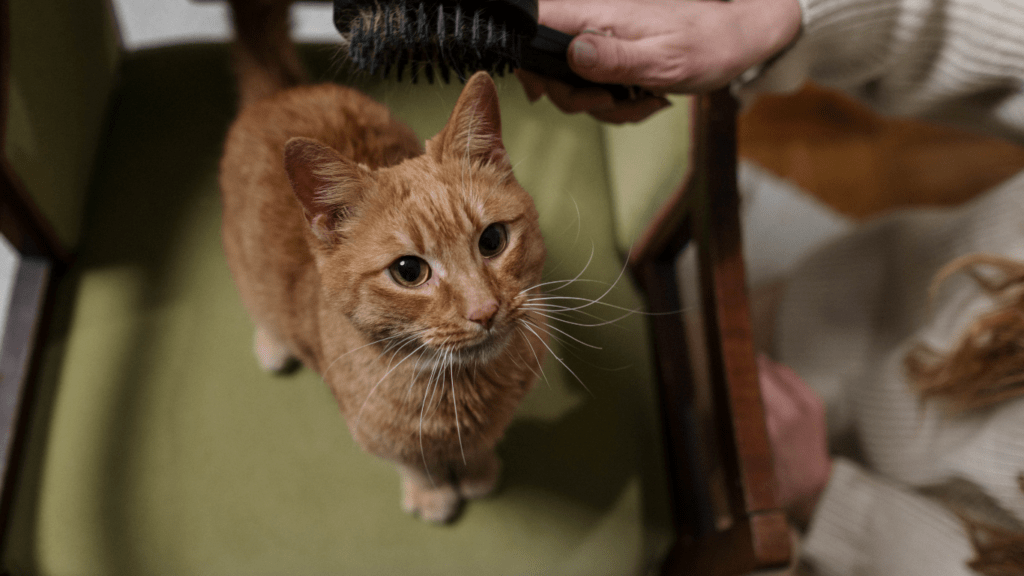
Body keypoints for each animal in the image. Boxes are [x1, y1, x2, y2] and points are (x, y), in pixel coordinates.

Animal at [221, 1, 548, 520]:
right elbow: (414, 464)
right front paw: (433, 494)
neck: (458, 390)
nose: (485, 310)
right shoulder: (376, 434)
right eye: (409, 271)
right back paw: (273, 344)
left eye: (493, 240)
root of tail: (285, 91)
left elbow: (478, 447)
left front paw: (477, 470)